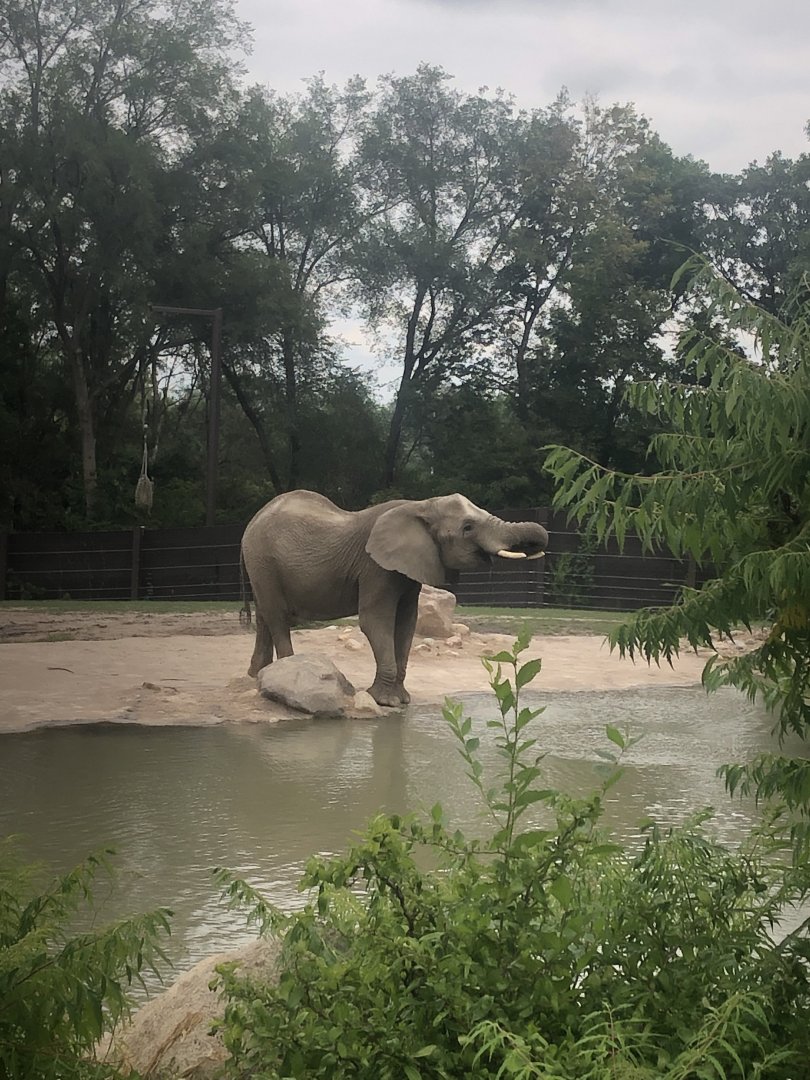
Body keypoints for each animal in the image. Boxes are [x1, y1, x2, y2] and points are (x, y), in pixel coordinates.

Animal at [240, 490, 549, 707]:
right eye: (468, 527)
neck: (421, 504)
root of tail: (253, 520)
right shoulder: (375, 566)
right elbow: (375, 621)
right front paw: (386, 701)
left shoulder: (407, 571)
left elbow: (406, 623)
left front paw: (403, 700)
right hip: (263, 560)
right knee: (277, 617)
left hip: (261, 566)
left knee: (264, 615)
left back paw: (258, 676)